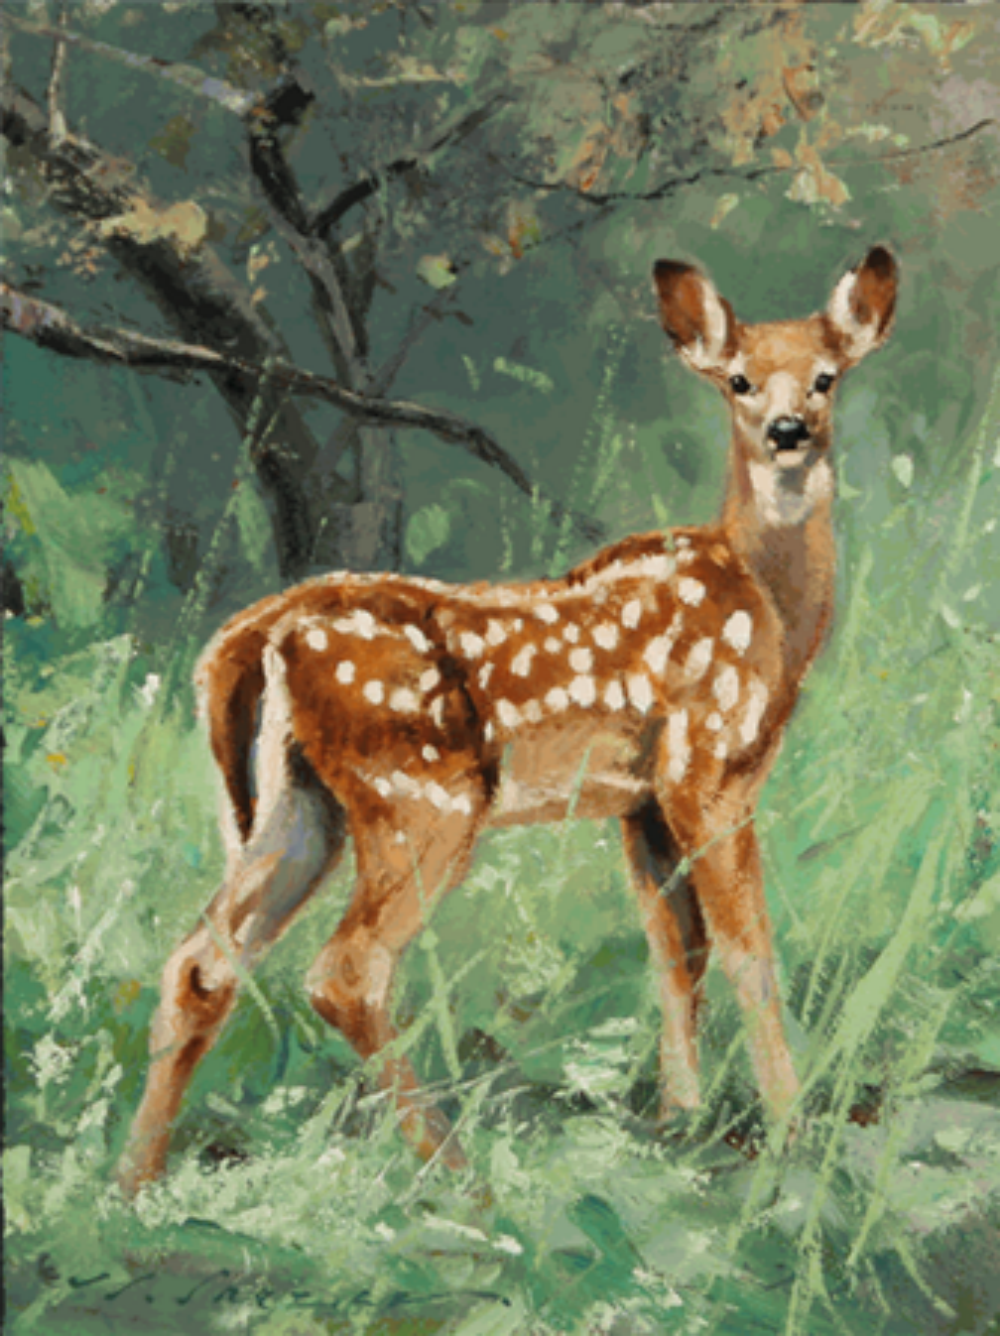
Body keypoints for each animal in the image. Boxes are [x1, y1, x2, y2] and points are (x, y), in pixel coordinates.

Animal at [118, 246, 897, 1195]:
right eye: (740, 380)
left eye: (826, 377)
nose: (789, 431)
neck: (771, 604)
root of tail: (255, 634)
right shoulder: (709, 768)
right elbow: (751, 952)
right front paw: (790, 1131)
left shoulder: (639, 802)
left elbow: (676, 952)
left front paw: (680, 1119)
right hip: (421, 796)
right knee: (346, 972)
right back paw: (458, 1173)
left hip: (300, 807)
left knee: (201, 963)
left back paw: (134, 1181)